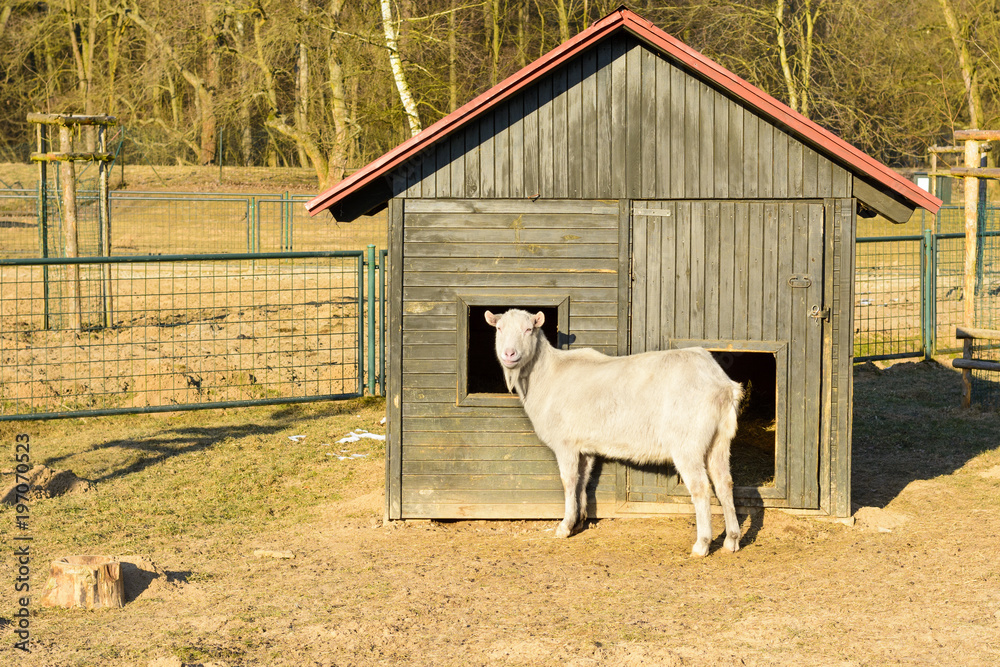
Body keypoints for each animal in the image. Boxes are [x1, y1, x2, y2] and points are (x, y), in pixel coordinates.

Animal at [485, 308, 743, 556]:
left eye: (529, 329)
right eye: (499, 328)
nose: (509, 354)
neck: (548, 375)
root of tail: (723, 385)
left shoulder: (566, 443)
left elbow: (568, 480)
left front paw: (564, 526)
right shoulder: (584, 446)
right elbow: (582, 479)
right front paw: (579, 521)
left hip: (687, 440)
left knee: (701, 487)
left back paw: (702, 544)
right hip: (719, 439)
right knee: (724, 483)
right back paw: (731, 540)